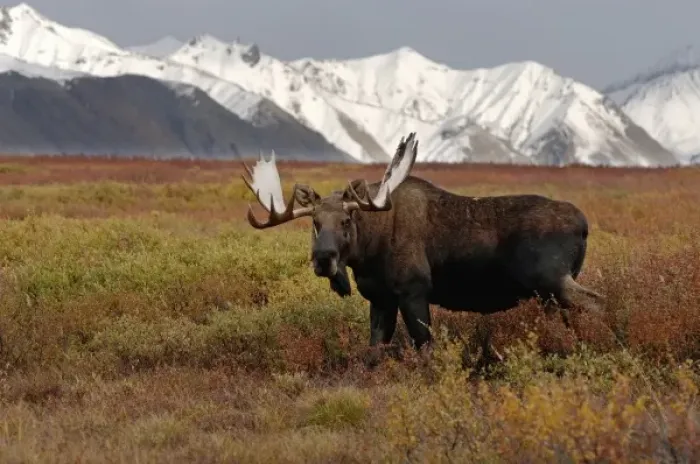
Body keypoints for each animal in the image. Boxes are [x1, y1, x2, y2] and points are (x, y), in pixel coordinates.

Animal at [240, 132, 604, 352]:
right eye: (315, 223)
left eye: (346, 221)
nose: (323, 258)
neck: (368, 253)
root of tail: (584, 224)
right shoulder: (381, 298)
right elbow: (374, 350)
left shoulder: (413, 289)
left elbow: (425, 345)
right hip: (549, 294)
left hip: (553, 280)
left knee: (597, 301)